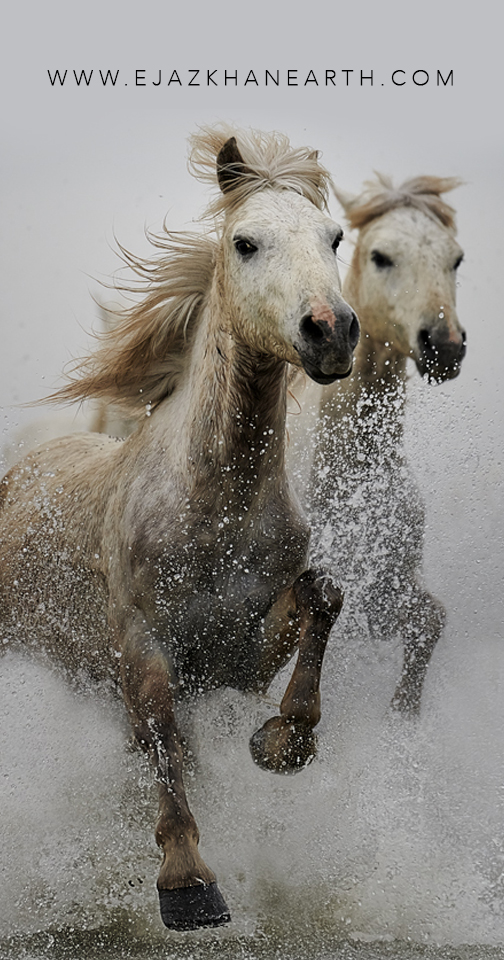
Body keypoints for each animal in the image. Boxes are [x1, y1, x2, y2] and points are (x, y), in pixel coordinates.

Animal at [0, 126, 360, 932]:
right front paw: (187, 883)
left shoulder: (239, 657)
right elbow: (163, 734)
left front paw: (282, 740)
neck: (214, 508)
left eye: (334, 236)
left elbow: (322, 595)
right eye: (246, 243)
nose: (330, 330)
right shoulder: (141, 640)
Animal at [300, 174, 466, 717]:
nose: (444, 346)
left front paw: (402, 716)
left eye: (456, 259)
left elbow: (430, 621)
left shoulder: (383, 592)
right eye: (381, 256)